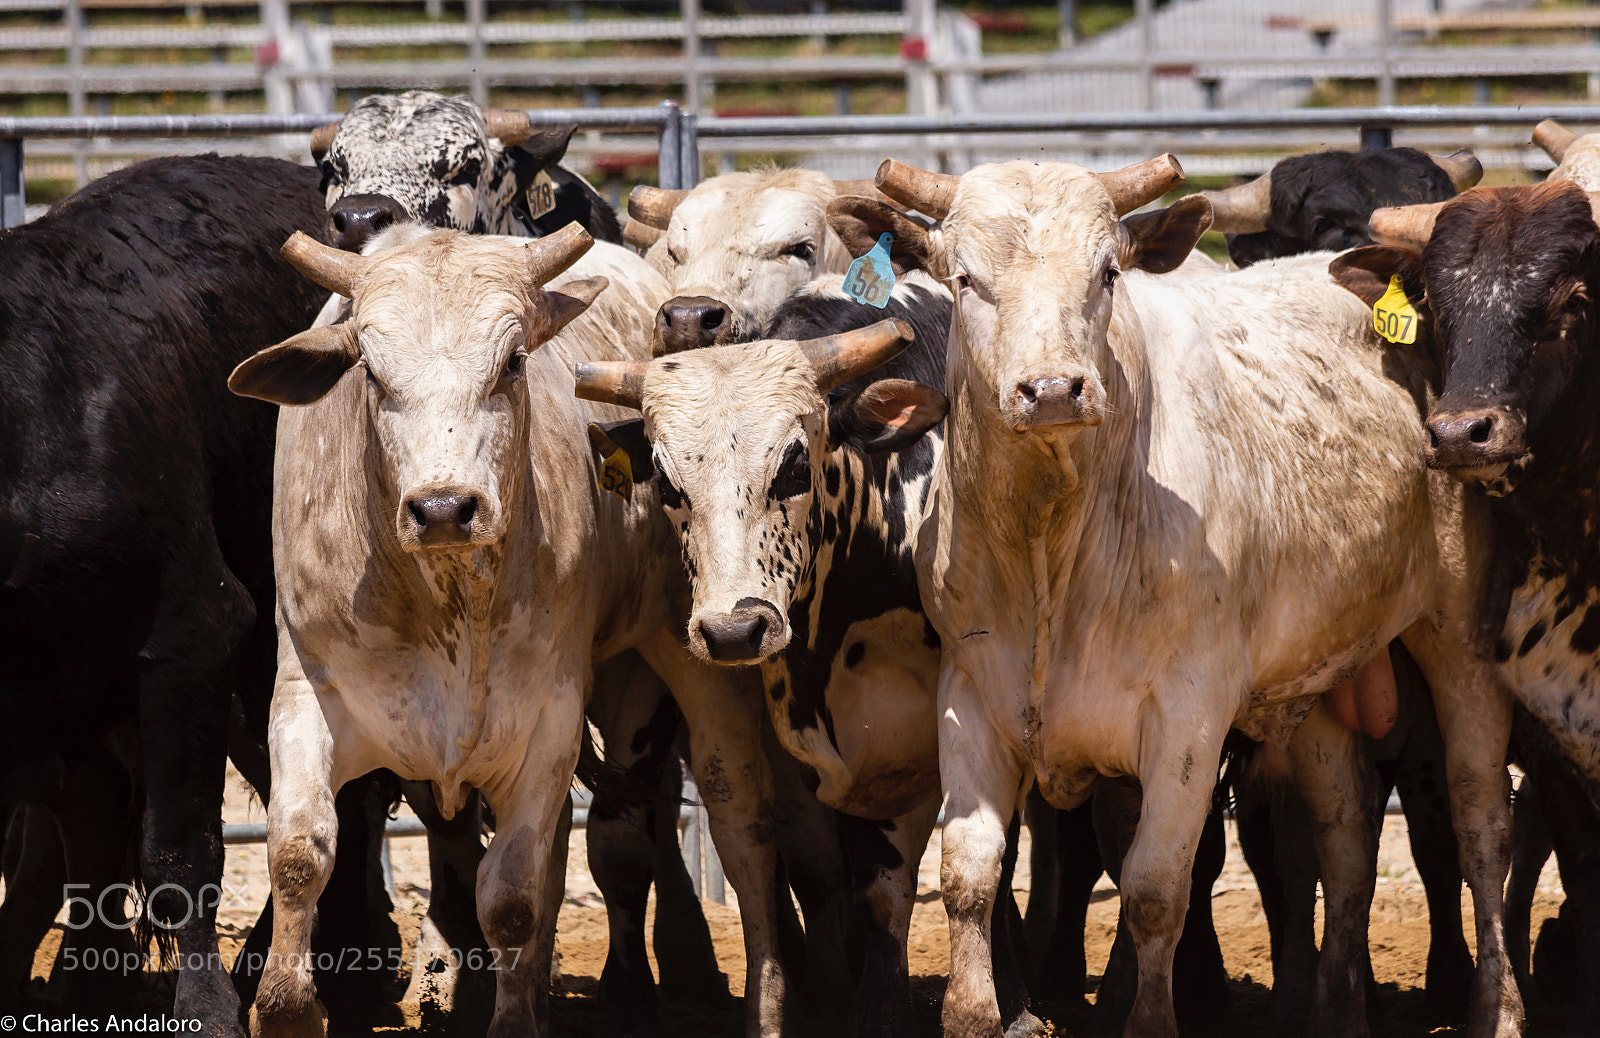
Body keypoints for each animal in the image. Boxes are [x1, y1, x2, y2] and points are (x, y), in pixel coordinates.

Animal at [228, 225, 789, 1038]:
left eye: (514, 360)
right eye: (370, 371)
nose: (442, 508)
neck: (446, 603)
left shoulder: (547, 722)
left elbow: (513, 896)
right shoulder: (306, 694)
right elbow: (301, 853)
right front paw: (285, 1006)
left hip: (694, 654)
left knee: (739, 821)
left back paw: (763, 1004)